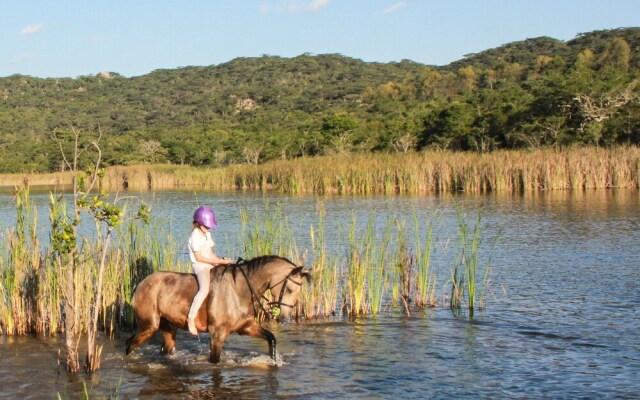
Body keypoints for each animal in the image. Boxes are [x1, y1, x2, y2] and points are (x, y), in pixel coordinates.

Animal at [124, 256, 310, 362]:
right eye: (290, 289)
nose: (284, 317)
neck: (239, 290)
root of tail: (141, 284)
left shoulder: (246, 327)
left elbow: (271, 338)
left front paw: (273, 360)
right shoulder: (217, 334)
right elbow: (215, 361)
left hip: (169, 328)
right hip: (148, 326)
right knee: (129, 344)